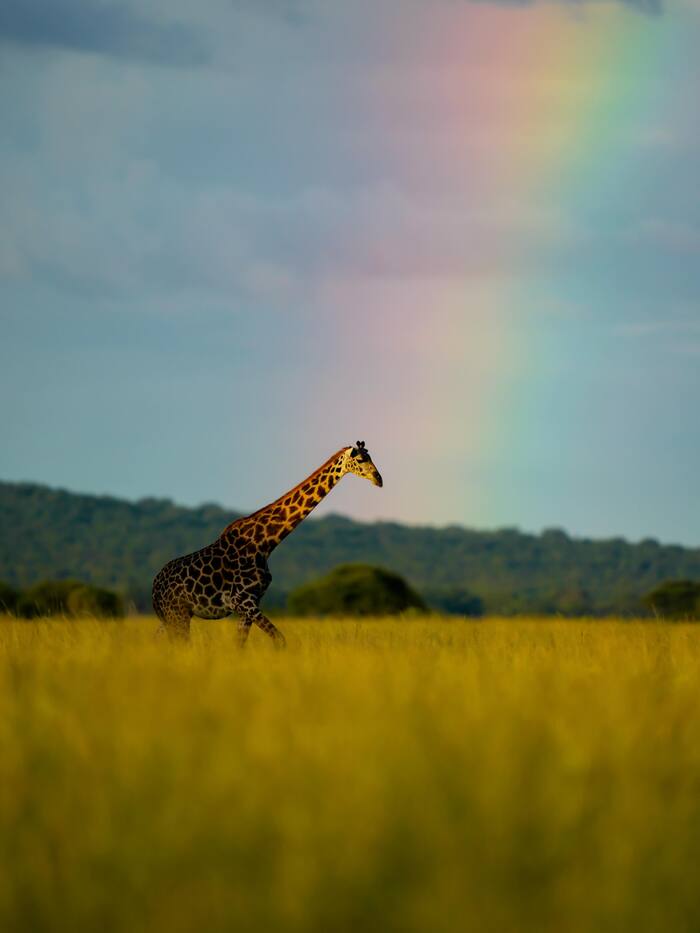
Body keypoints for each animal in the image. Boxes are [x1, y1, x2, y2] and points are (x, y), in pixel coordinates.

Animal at [152, 442, 383, 645]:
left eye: (371, 457)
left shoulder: (250, 602)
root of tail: (154, 588)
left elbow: (240, 645)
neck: (266, 543)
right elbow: (280, 640)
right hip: (177, 614)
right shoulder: (242, 600)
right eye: (361, 459)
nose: (379, 479)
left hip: (173, 616)